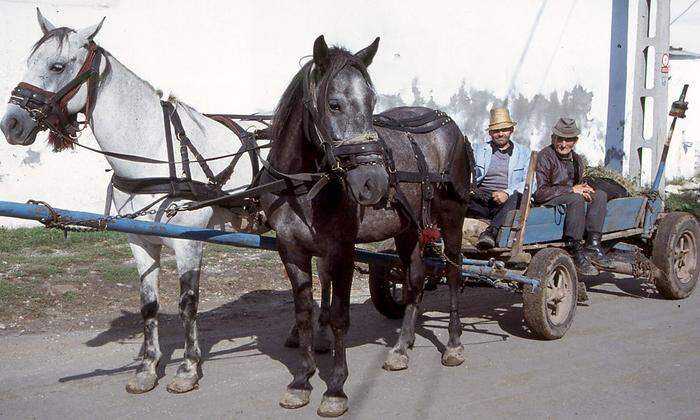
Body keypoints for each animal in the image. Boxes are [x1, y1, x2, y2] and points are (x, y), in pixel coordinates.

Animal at [0, 11, 262, 396]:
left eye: (57, 66)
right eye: (28, 62)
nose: (11, 124)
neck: (156, 151)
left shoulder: (189, 242)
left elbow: (188, 304)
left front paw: (188, 368)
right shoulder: (139, 241)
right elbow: (149, 305)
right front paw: (148, 368)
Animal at [260, 35, 474, 416]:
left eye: (372, 101)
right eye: (334, 104)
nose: (374, 181)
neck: (301, 186)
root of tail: (449, 124)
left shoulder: (341, 251)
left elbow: (339, 317)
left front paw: (335, 389)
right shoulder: (292, 251)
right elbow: (304, 314)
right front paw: (301, 381)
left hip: (452, 216)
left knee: (452, 271)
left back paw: (452, 343)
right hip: (408, 229)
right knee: (415, 279)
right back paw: (402, 347)